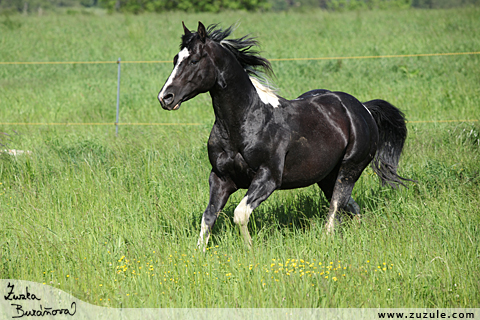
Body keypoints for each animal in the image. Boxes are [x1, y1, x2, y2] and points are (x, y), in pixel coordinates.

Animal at [158, 21, 412, 250]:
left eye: (194, 60)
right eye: (175, 59)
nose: (165, 98)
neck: (246, 123)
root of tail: (363, 109)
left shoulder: (267, 178)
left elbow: (240, 213)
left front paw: (249, 250)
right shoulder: (220, 177)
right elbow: (208, 216)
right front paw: (199, 253)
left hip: (349, 170)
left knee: (335, 208)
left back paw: (326, 241)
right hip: (326, 177)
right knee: (350, 207)